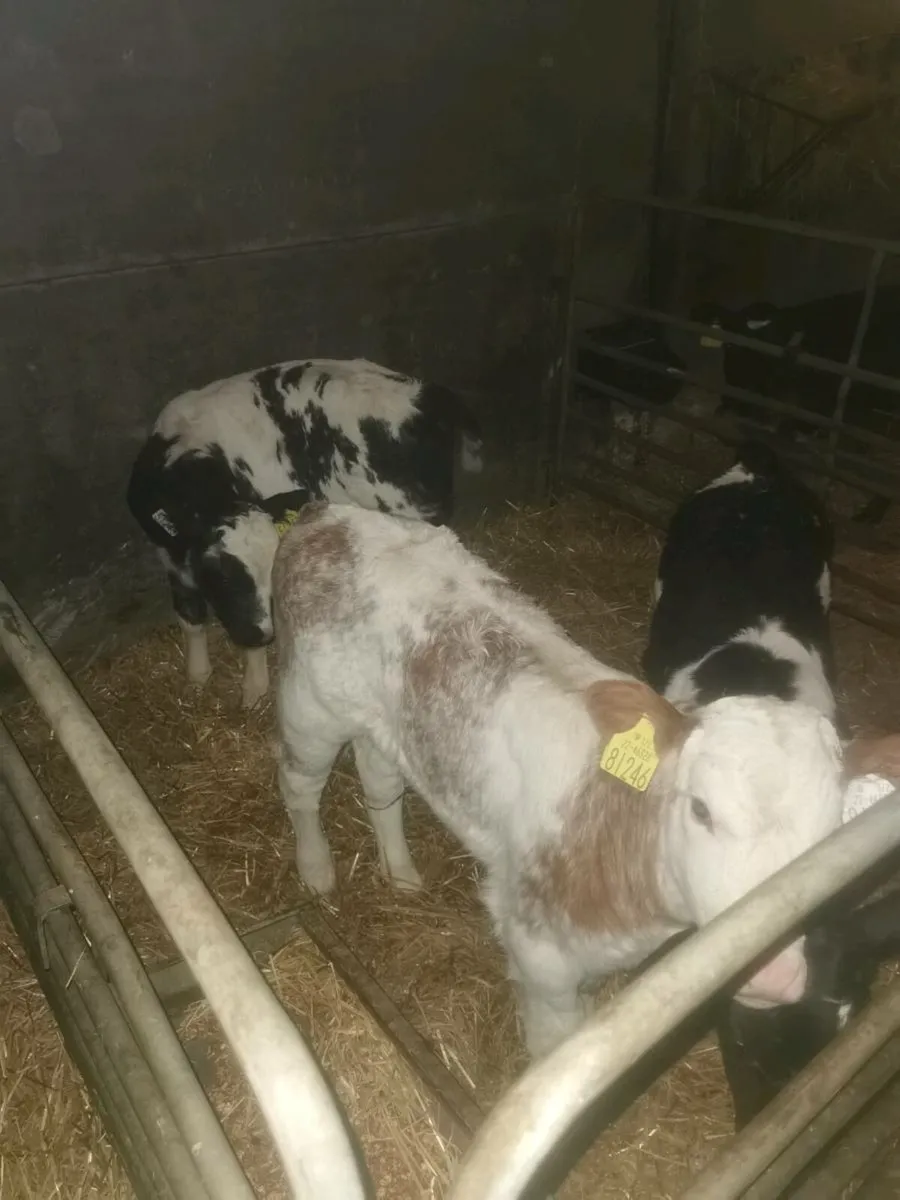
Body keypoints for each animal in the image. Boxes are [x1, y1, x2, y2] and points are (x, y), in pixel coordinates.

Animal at [126, 358, 482, 707]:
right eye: (223, 574)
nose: (260, 634)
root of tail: (426, 395)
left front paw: (253, 686)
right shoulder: (170, 556)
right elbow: (190, 617)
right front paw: (197, 675)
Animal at [270, 499, 895, 1061]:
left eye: (828, 837)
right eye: (700, 809)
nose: (774, 978)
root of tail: (329, 515)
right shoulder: (538, 953)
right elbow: (554, 1044)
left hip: (383, 723)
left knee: (381, 783)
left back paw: (400, 874)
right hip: (311, 706)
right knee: (298, 783)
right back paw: (316, 869)